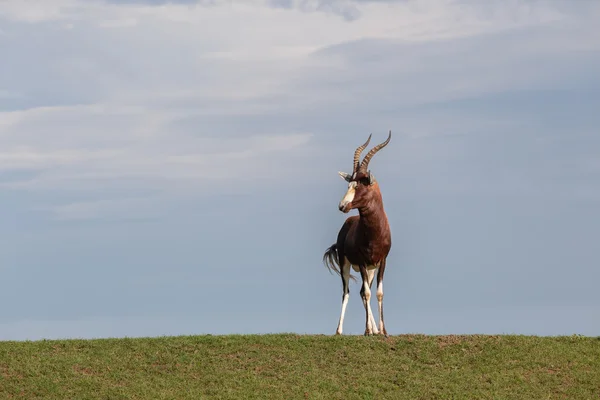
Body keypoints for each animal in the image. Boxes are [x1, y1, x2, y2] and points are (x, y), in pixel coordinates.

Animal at [324, 130, 394, 334]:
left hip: (370, 269)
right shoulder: (362, 262)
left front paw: (382, 331)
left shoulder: (381, 262)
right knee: (347, 292)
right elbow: (368, 293)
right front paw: (369, 330)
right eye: (349, 184)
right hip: (345, 264)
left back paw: (373, 330)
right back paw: (340, 330)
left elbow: (378, 293)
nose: (342, 206)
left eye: (360, 185)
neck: (374, 233)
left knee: (363, 292)